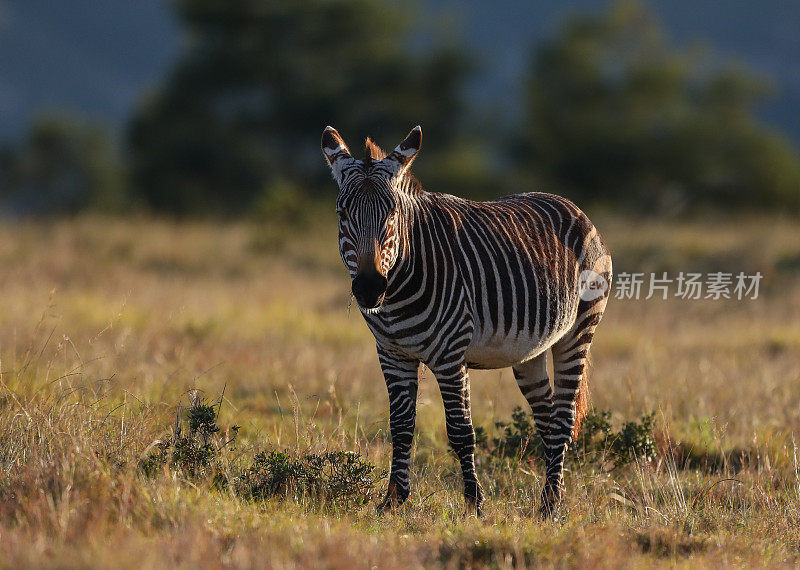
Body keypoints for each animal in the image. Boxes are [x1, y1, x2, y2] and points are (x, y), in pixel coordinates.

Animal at [318, 124, 612, 516]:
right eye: (342, 213)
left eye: (391, 213)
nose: (368, 288)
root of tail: (574, 206)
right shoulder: (392, 354)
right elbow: (400, 427)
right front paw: (393, 501)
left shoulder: (450, 354)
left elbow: (460, 431)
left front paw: (474, 505)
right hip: (531, 350)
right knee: (548, 418)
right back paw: (551, 499)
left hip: (579, 329)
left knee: (564, 418)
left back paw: (550, 506)